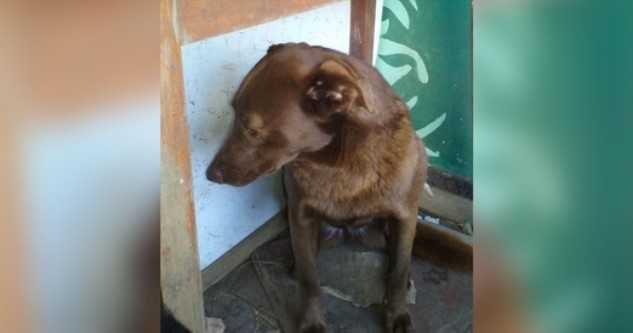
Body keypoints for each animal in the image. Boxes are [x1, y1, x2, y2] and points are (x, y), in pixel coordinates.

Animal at [206, 42, 424, 330]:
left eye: (252, 130)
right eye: (232, 114)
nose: (210, 175)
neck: (339, 162)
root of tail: (348, 233)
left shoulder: (405, 217)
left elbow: (398, 272)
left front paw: (397, 315)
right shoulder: (300, 217)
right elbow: (310, 279)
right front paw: (311, 322)